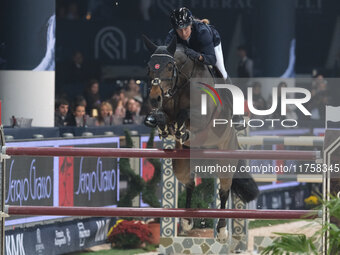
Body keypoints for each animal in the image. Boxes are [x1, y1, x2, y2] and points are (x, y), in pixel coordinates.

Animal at [142, 34, 258, 241]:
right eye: (149, 66)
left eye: (169, 67)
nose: (154, 98)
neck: (181, 83)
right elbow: (164, 117)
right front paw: (165, 126)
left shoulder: (201, 115)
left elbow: (185, 114)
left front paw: (181, 129)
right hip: (182, 165)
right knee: (189, 183)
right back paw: (187, 221)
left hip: (225, 160)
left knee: (223, 191)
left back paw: (222, 231)